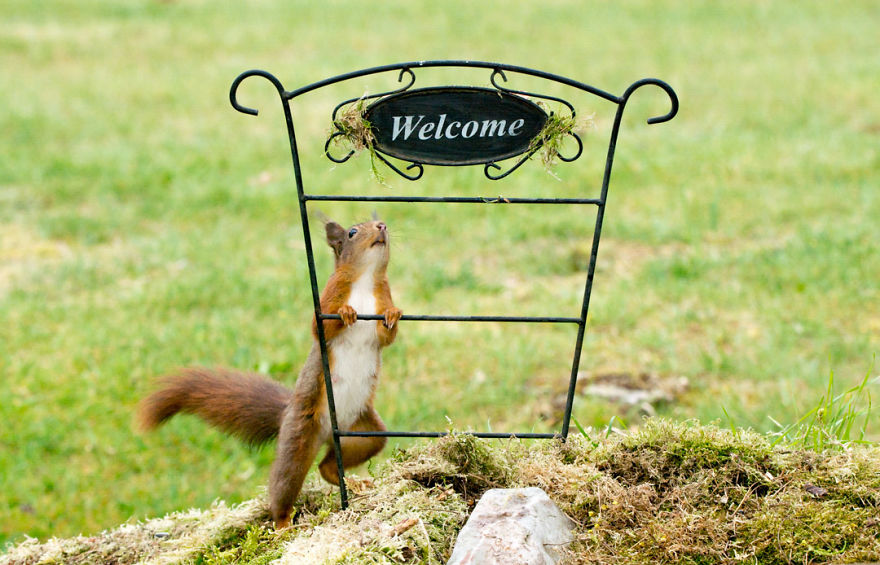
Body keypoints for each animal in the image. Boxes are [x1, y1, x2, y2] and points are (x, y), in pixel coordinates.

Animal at [138, 218, 402, 528]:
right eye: (352, 232)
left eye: (381, 223)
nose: (382, 225)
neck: (364, 279)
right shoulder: (329, 295)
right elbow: (320, 329)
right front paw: (347, 312)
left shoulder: (381, 296)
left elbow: (386, 337)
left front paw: (393, 315)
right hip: (298, 438)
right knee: (283, 484)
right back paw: (282, 522)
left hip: (365, 434)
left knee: (329, 464)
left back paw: (345, 479)